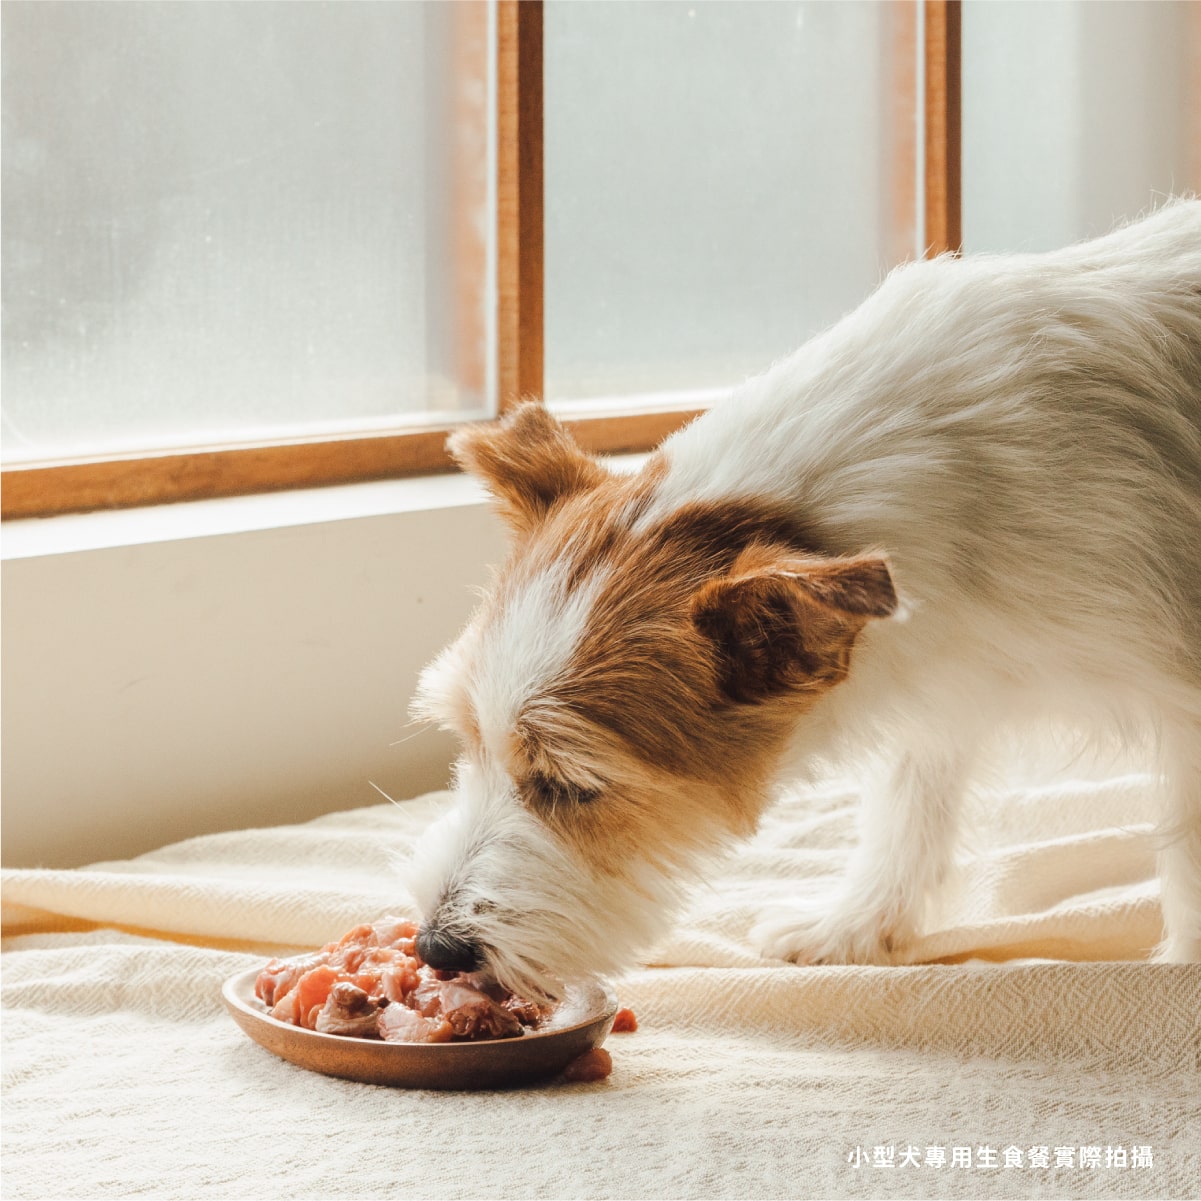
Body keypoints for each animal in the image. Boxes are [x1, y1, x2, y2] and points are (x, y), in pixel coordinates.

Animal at [408, 201, 1201, 999]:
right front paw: (856, 926)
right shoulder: (946, 677)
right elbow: (909, 797)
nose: (436, 947)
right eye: (467, 740)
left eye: (570, 785)